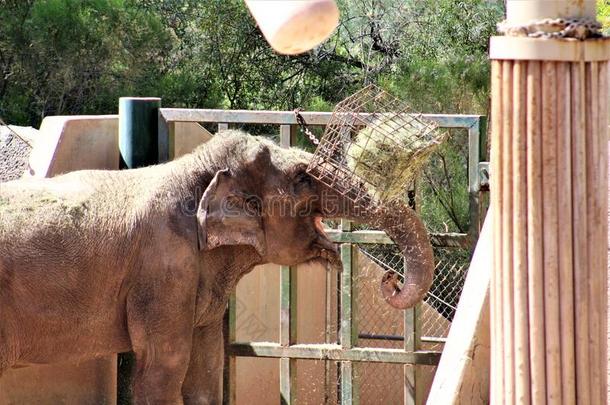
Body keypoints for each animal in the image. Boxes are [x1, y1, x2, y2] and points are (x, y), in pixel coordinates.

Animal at [0, 131, 432, 402]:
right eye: (301, 178)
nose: (391, 281)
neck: (194, 168)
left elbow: (206, 373)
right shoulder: (164, 269)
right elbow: (164, 367)